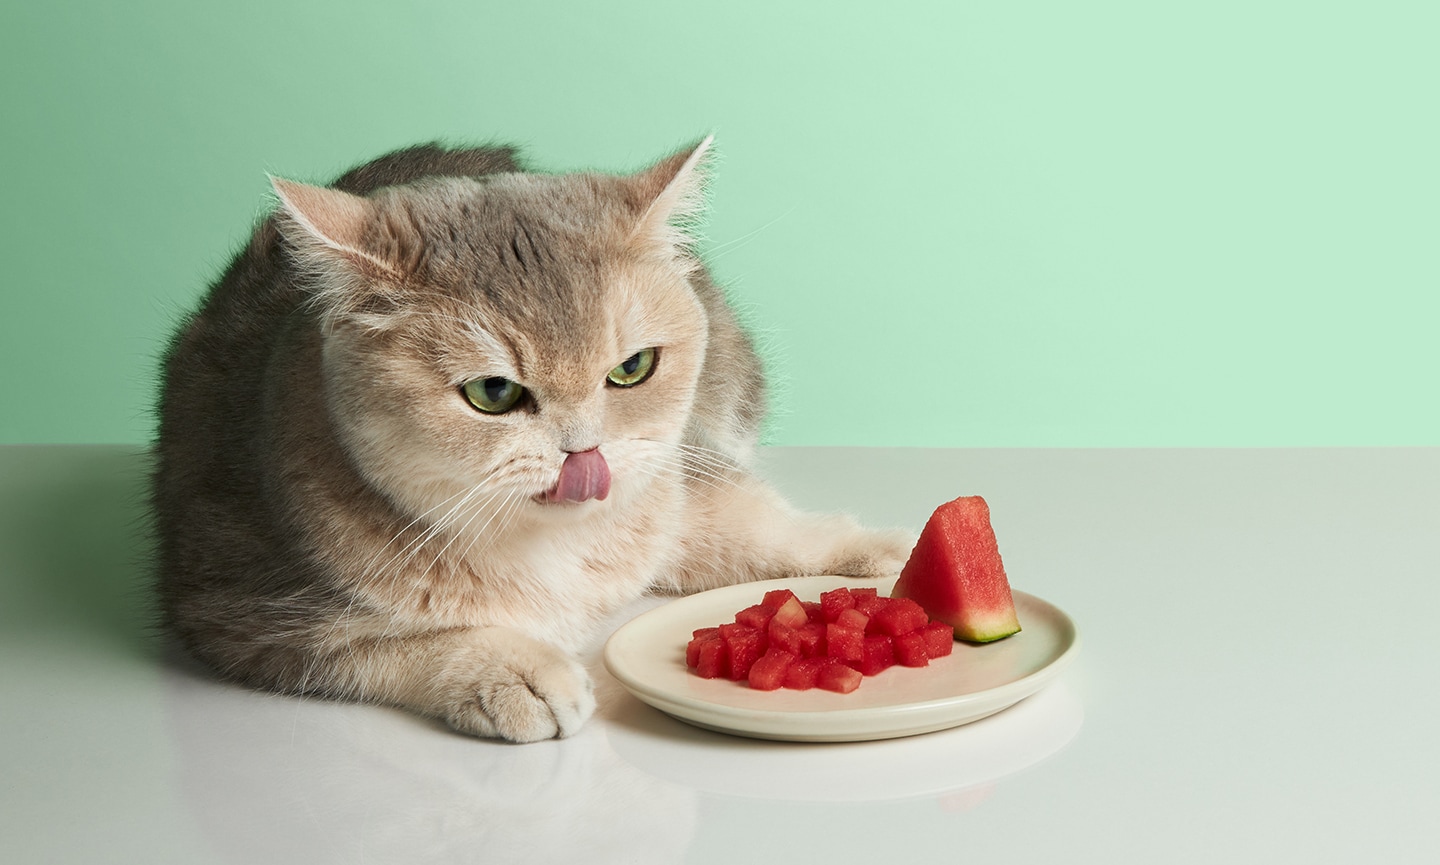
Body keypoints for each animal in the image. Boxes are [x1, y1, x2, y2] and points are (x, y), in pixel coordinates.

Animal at [151, 138, 904, 736]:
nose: (584, 453)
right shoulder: (243, 616)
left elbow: (751, 525)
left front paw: (874, 552)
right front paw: (511, 672)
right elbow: (388, 647)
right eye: (494, 394)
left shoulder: (675, 481)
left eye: (632, 368)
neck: (555, 549)